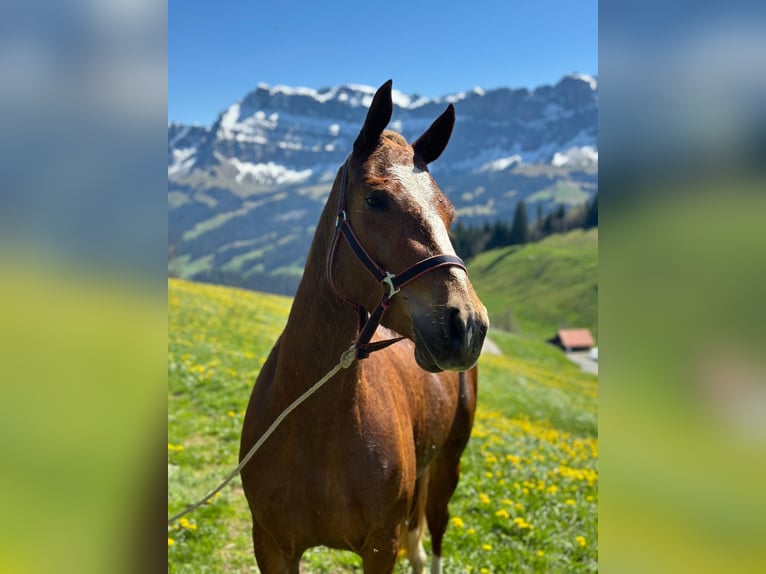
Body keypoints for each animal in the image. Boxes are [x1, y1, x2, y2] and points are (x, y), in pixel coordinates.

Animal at [240, 81, 488, 574]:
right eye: (376, 198)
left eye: (449, 214)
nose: (467, 324)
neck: (313, 426)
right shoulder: (272, 545)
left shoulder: (379, 547)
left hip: (449, 464)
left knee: (434, 528)